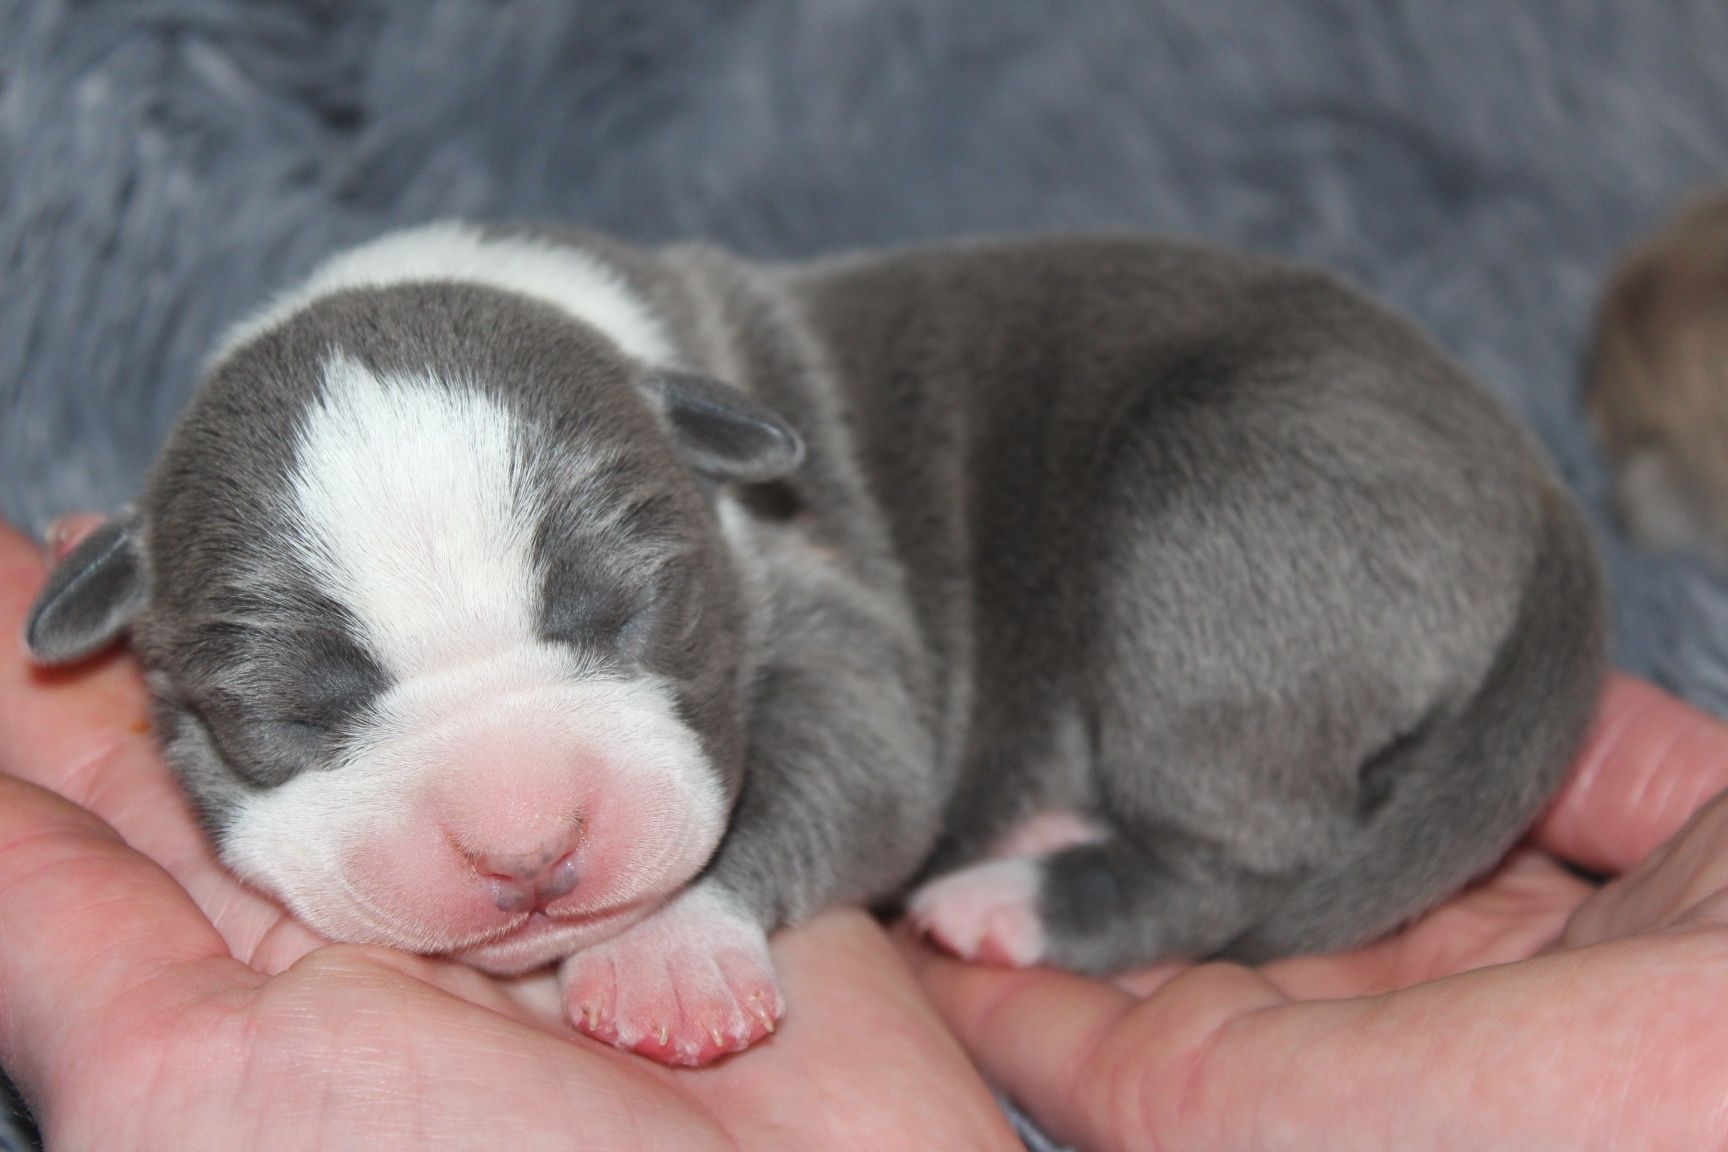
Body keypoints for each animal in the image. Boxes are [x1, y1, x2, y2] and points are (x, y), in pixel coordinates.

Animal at [23, 221, 1603, 1070]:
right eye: (291, 707)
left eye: (626, 609)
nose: (527, 848)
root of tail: (1538, 485)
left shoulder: (827, 610)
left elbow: (846, 764)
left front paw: (670, 953)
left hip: (1212, 519)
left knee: (1250, 851)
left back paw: (1021, 899)